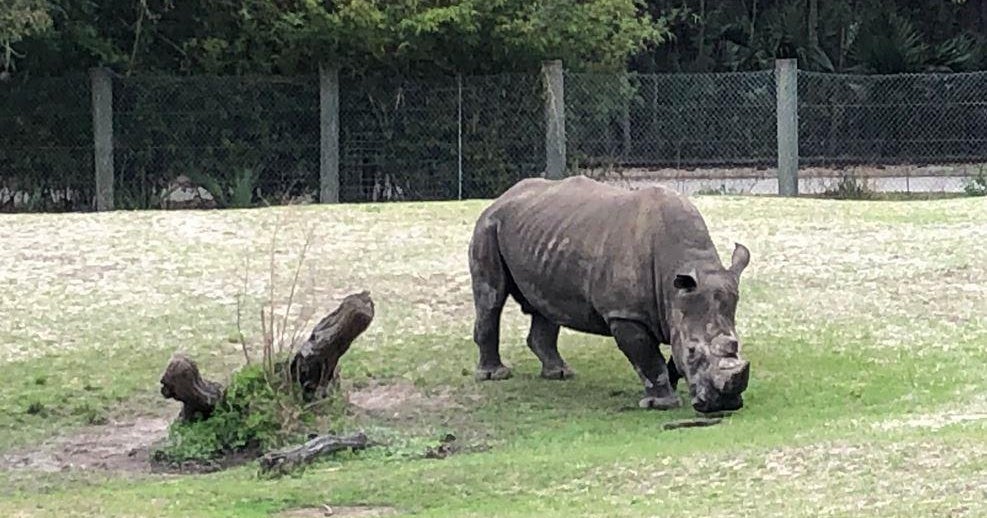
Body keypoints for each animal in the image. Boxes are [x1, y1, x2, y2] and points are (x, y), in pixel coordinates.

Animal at [468, 175, 752, 413]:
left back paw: (560, 373)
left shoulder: (679, 310)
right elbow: (648, 356)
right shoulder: (624, 314)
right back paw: (495, 375)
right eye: (693, 351)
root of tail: (502, 197)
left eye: (737, 344)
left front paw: (669, 386)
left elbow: (670, 352)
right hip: (488, 226)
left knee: (544, 303)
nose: (723, 405)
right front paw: (662, 403)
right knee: (491, 298)